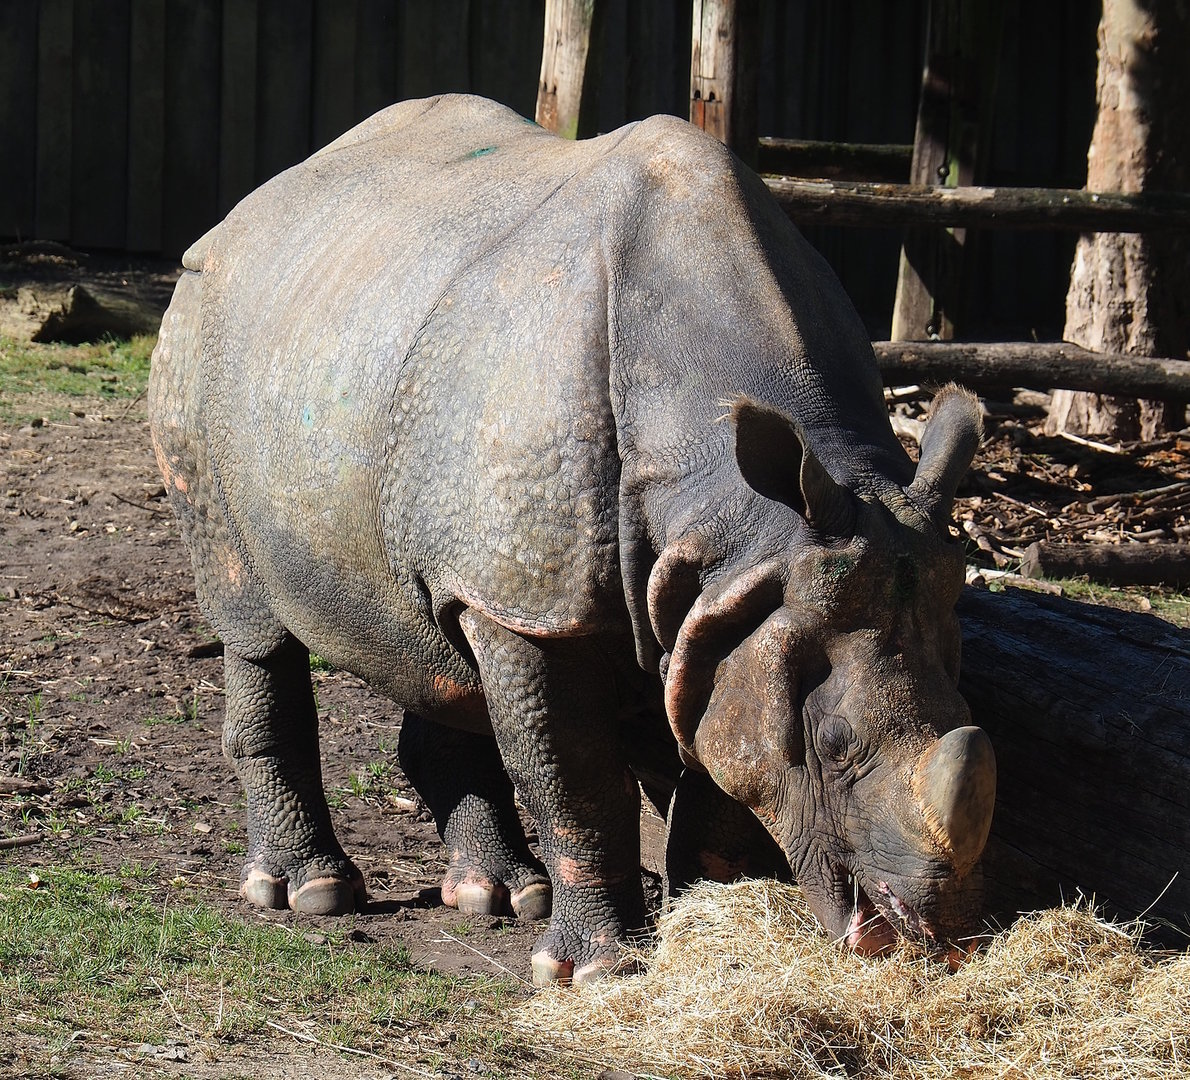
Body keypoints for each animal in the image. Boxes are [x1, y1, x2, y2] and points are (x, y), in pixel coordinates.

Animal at [149, 94, 995, 985]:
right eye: (833, 747)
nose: (935, 936)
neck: (739, 515)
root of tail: (254, 204)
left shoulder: (733, 599)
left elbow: (714, 755)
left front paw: (701, 916)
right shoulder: (543, 607)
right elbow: (576, 775)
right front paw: (600, 970)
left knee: (438, 646)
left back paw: (497, 895)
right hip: (203, 340)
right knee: (251, 619)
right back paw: (307, 893)